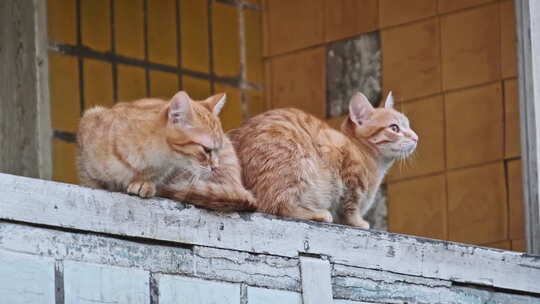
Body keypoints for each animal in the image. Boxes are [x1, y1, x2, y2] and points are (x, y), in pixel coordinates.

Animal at [76, 91, 258, 211]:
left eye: (217, 150)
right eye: (206, 150)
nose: (216, 166)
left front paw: (145, 183)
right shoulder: (89, 122)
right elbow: (90, 182)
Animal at [230, 91, 420, 227]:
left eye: (408, 125)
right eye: (394, 128)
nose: (416, 137)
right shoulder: (350, 179)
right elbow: (349, 208)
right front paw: (358, 222)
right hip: (297, 166)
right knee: (275, 205)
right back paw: (317, 214)